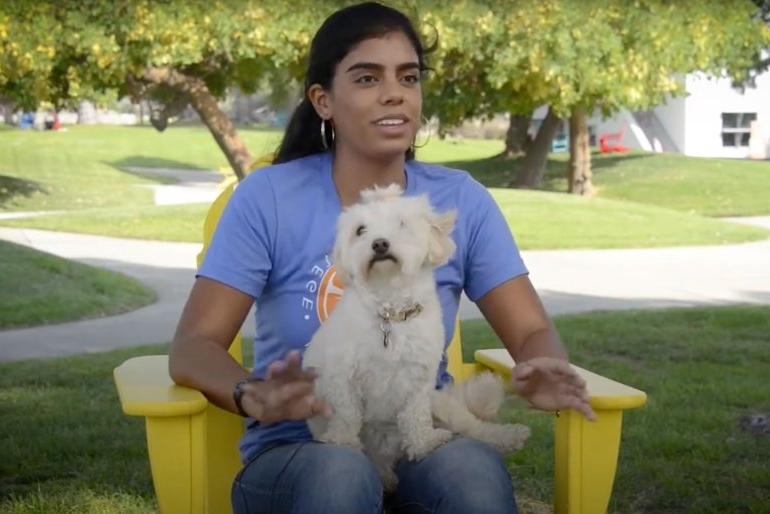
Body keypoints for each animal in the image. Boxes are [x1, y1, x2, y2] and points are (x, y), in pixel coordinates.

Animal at [304, 183, 532, 488]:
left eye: (402, 224)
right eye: (360, 230)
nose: (380, 243)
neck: (391, 313)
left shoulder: (419, 380)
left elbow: (415, 417)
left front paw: (425, 444)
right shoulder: (341, 375)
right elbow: (347, 413)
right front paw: (342, 441)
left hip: (442, 405)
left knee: (473, 427)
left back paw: (508, 436)